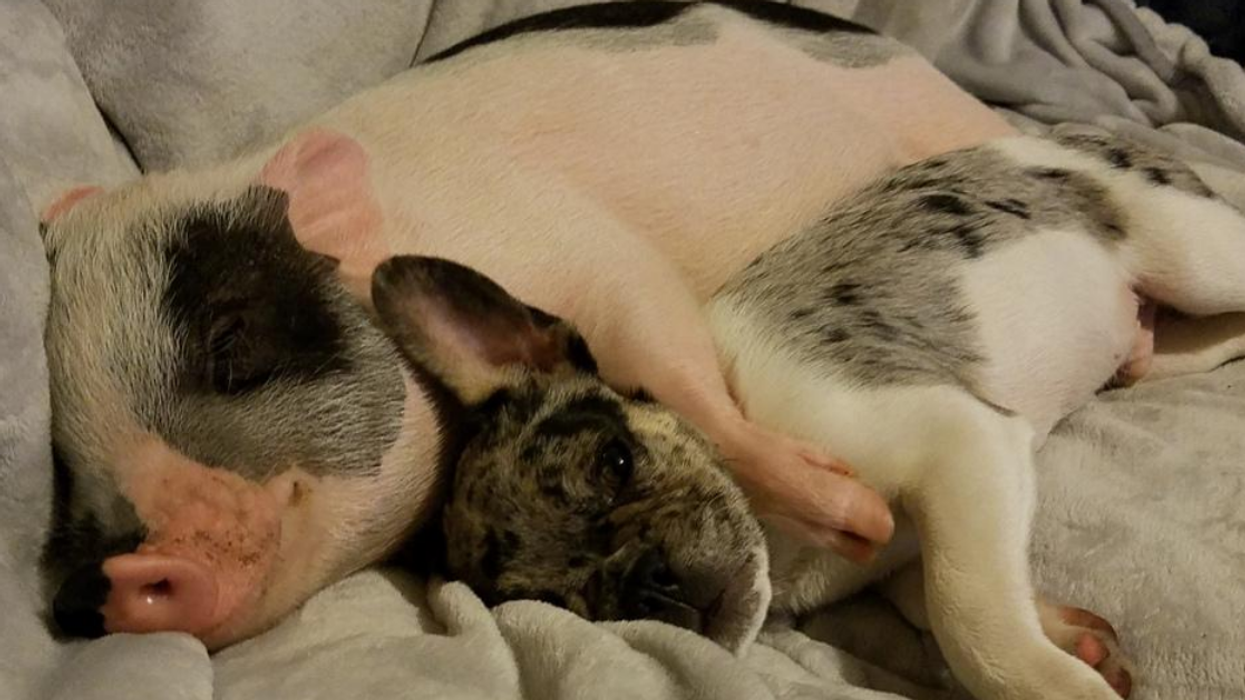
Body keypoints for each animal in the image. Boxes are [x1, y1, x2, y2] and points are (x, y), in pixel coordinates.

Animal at [37, 1, 1016, 649]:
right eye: (66, 457)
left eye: (230, 345)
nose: (107, 585)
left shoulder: (600, 255)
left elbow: (681, 367)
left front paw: (861, 517)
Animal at [395, 131, 1245, 700]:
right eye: (558, 605)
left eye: (617, 462)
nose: (650, 587)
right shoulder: (945, 515)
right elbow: (937, 592)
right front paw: (1067, 636)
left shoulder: (958, 444)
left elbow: (967, 610)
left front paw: (1048, 679)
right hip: (1167, 327)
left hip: (1193, 254)